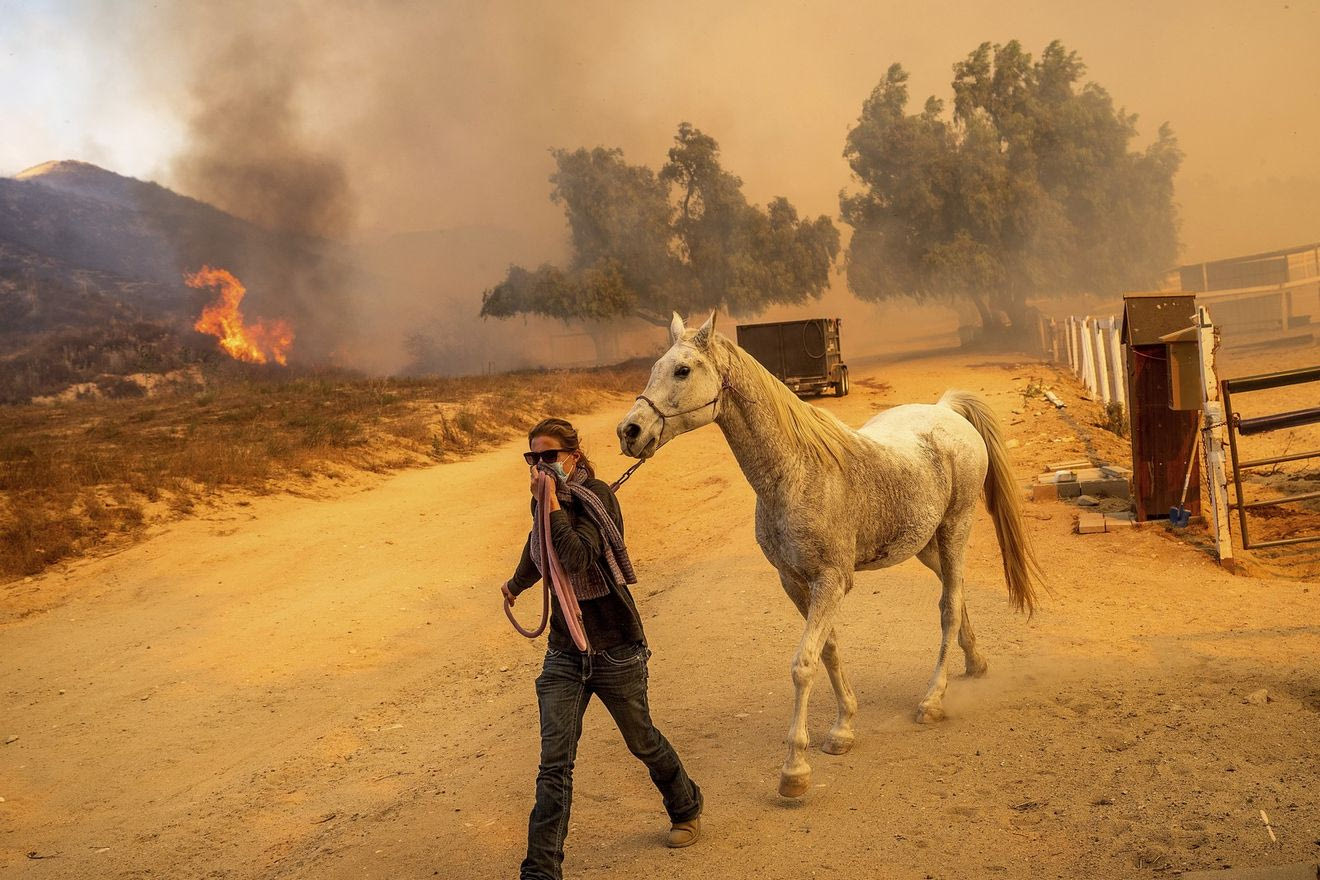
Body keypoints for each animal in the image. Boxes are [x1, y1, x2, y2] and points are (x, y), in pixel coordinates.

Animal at [615, 312, 1040, 802]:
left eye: (683, 370)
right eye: (655, 368)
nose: (630, 432)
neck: (796, 473)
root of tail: (947, 411)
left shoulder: (831, 582)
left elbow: (803, 664)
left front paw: (795, 770)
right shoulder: (796, 582)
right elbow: (829, 649)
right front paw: (842, 729)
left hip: (956, 529)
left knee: (949, 607)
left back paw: (932, 700)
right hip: (925, 545)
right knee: (958, 593)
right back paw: (975, 664)